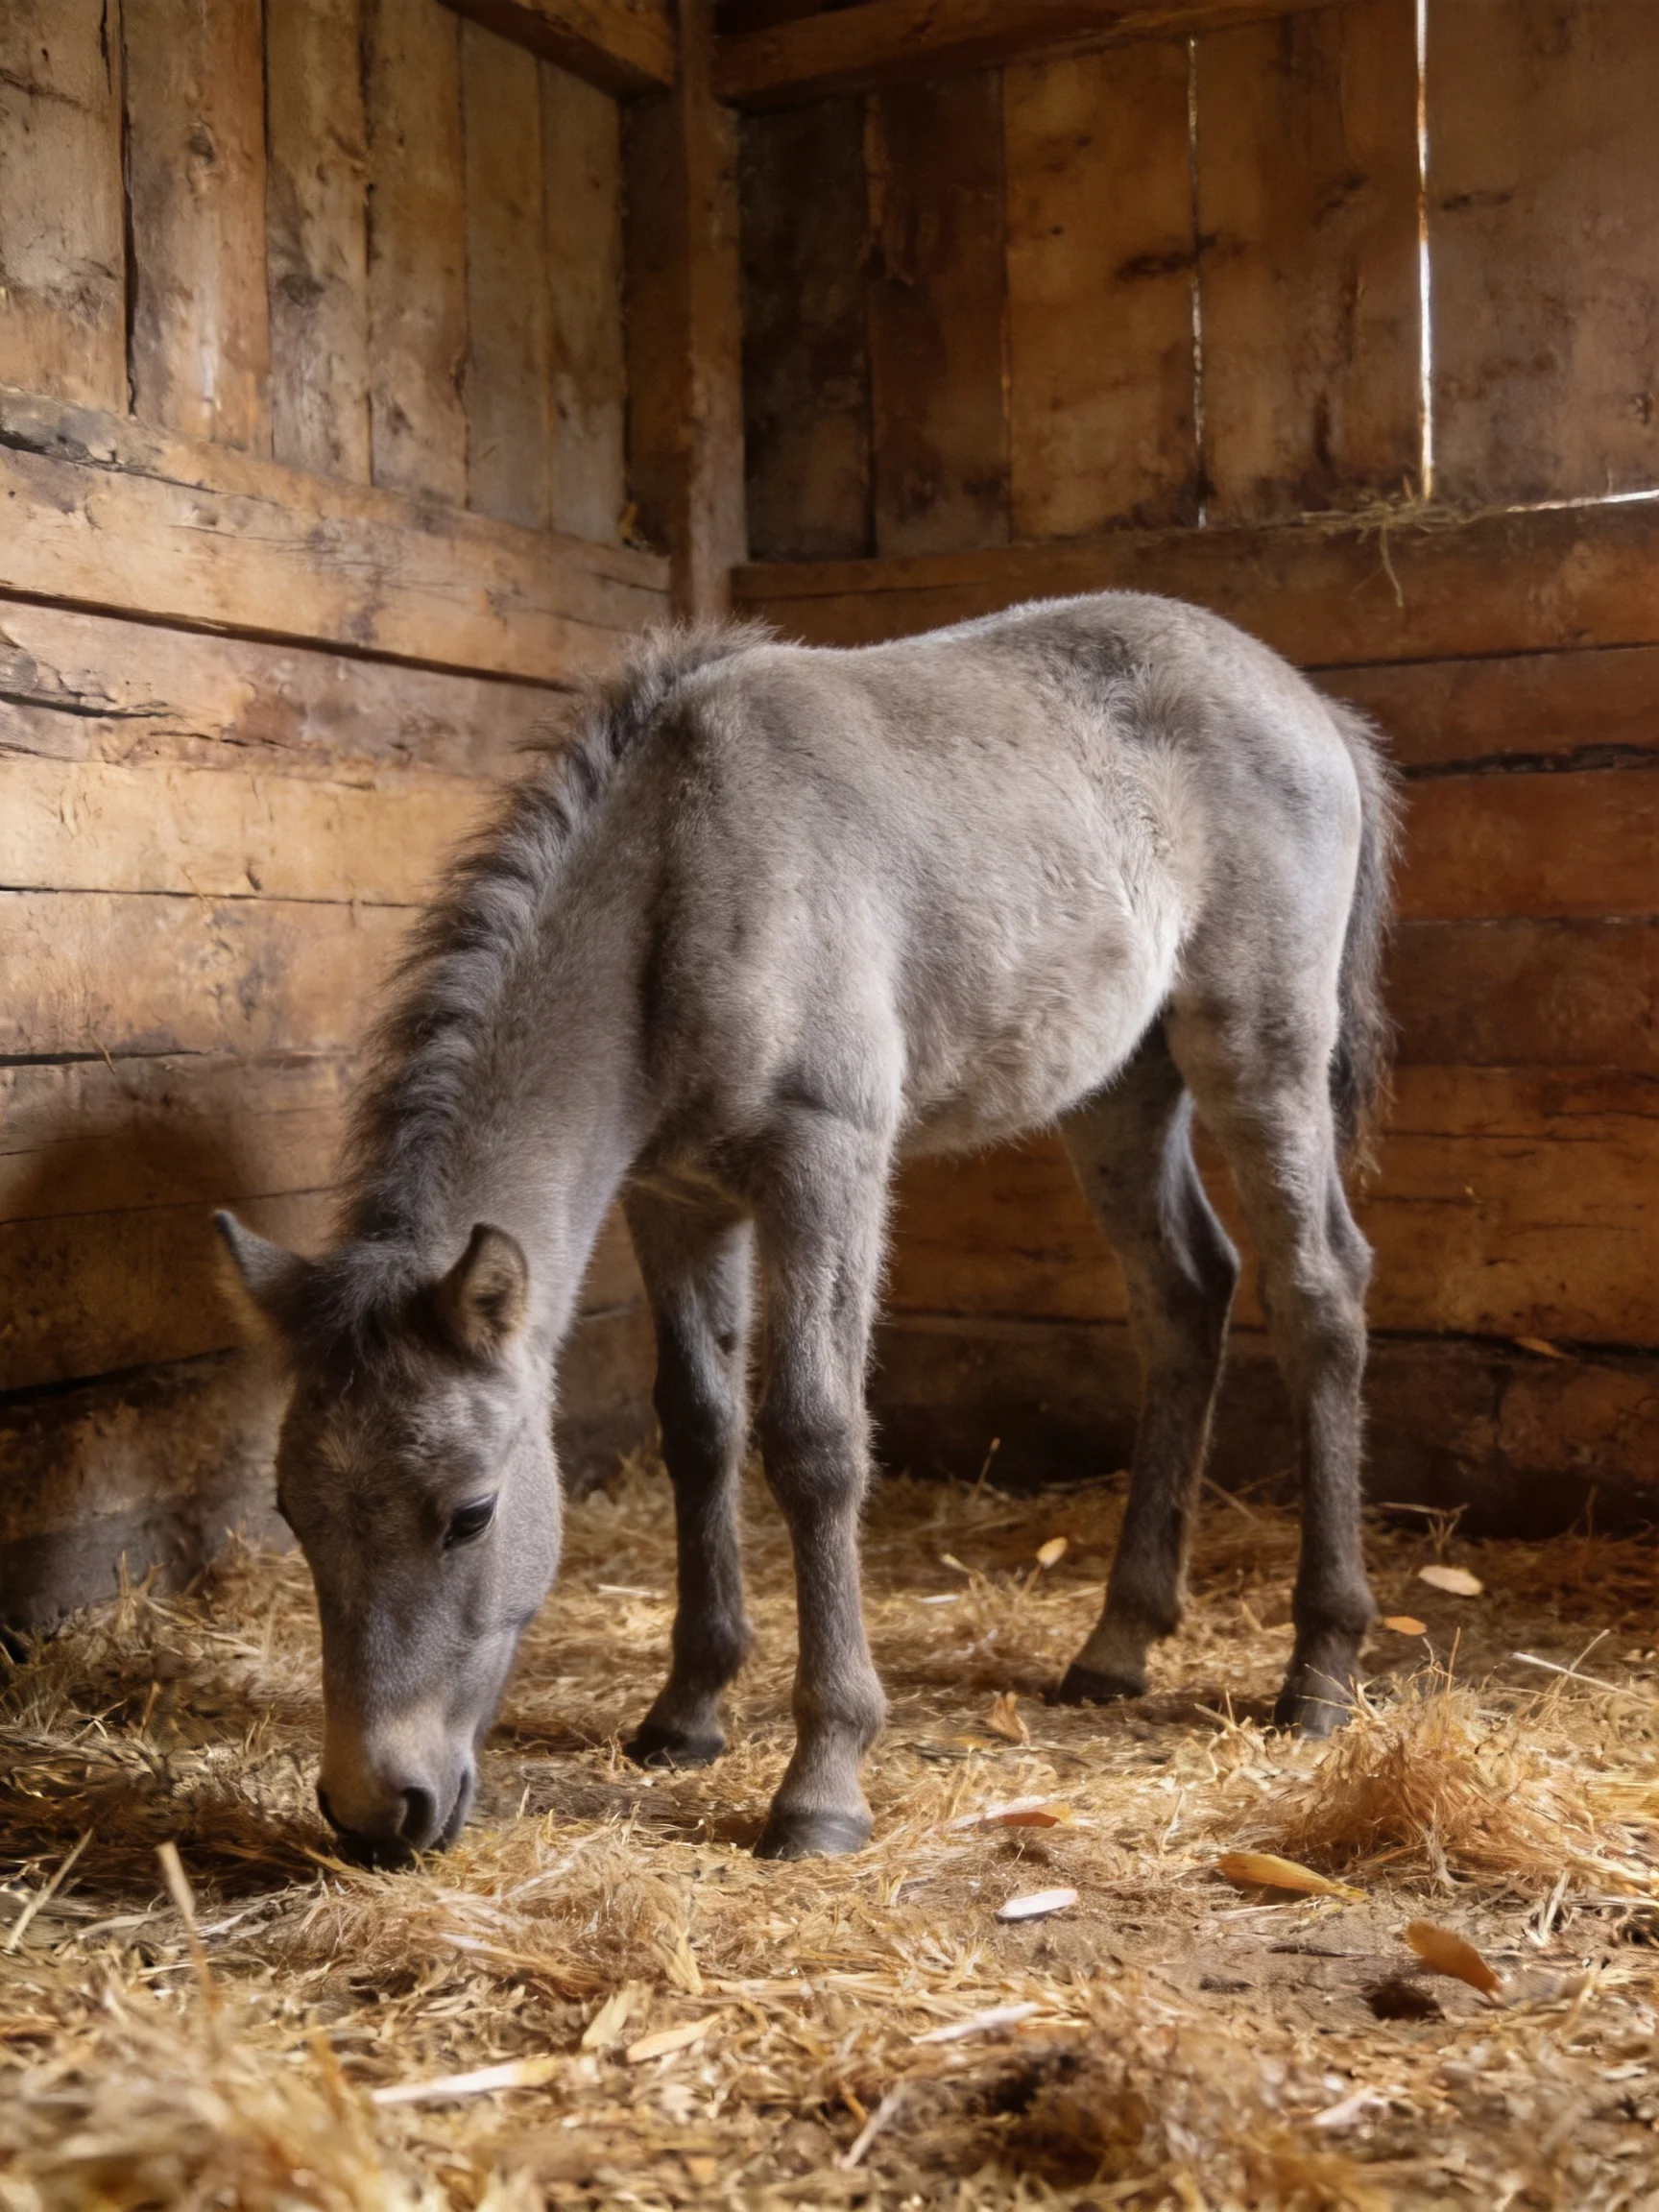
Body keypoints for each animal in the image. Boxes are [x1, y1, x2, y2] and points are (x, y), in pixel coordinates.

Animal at [217, 592, 1398, 1864]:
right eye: (293, 1514)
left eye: (470, 1514)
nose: (377, 1810)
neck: (682, 877)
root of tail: (1309, 702)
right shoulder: (676, 1198)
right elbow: (700, 1426)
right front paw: (685, 1713)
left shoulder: (825, 1162)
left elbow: (814, 1440)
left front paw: (822, 1782)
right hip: (1123, 1088)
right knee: (1185, 1294)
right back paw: (1117, 1643)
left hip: (1259, 1050)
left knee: (1318, 1291)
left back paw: (1318, 1671)